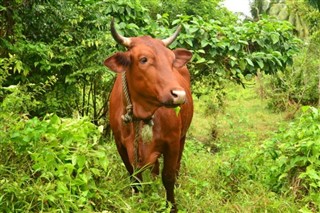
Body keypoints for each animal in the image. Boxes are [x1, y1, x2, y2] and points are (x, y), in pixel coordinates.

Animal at [104, 19, 192, 212]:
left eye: (172, 60)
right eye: (143, 59)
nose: (179, 95)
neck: (141, 114)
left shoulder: (172, 142)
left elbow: (168, 178)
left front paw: (172, 206)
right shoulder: (120, 144)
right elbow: (134, 178)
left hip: (183, 136)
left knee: (177, 165)